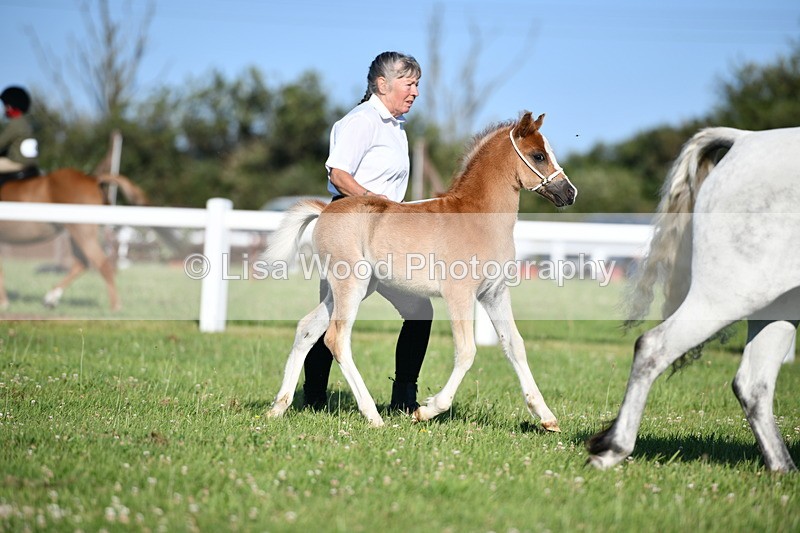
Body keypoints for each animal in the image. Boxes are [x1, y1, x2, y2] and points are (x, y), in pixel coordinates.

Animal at [0, 168, 148, 312]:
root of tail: (93, 179)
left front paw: (4, 303)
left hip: (81, 231)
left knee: (101, 263)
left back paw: (115, 306)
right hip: (76, 233)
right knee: (82, 262)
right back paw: (52, 297)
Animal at [264, 111, 577, 428]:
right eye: (538, 155)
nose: (569, 193)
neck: (478, 220)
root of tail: (325, 210)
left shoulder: (494, 294)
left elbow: (515, 345)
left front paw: (547, 417)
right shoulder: (459, 294)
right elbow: (466, 351)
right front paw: (427, 410)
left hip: (351, 289)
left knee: (307, 329)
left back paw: (279, 407)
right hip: (351, 284)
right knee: (336, 339)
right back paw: (372, 415)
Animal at [587, 126, 800, 472]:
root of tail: (745, 138)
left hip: (778, 304)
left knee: (753, 384)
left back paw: (785, 470)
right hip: (731, 293)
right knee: (653, 347)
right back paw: (613, 449)